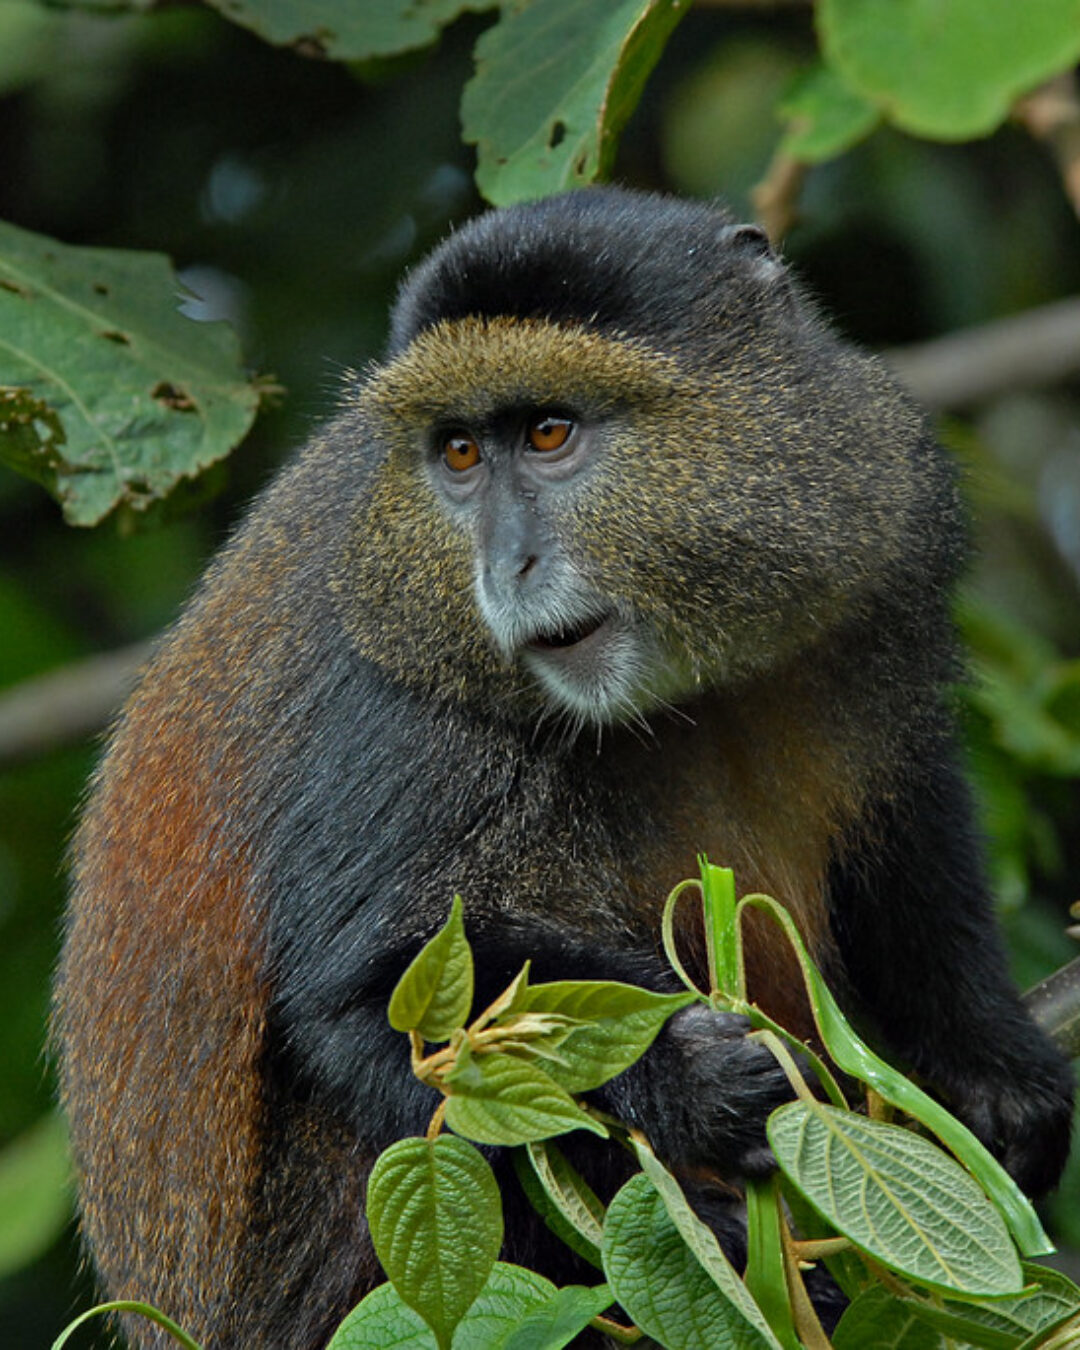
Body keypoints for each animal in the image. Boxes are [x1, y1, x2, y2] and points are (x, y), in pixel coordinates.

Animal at [54, 187, 1074, 1349]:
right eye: (459, 454)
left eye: (549, 432)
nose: (507, 568)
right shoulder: (402, 703)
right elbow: (372, 993)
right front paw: (692, 1078)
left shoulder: (884, 533)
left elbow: (906, 814)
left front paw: (992, 1076)